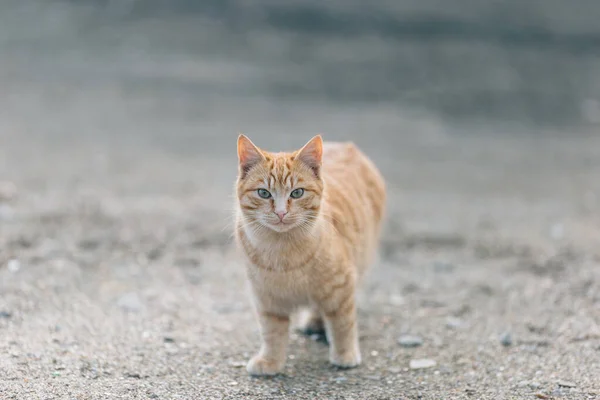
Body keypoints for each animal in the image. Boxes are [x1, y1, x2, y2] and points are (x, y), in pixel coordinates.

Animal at [232, 134, 386, 376]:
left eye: (297, 193)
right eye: (264, 193)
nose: (281, 213)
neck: (283, 253)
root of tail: (345, 144)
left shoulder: (341, 285)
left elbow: (342, 324)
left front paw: (344, 355)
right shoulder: (266, 297)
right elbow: (271, 333)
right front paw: (271, 361)